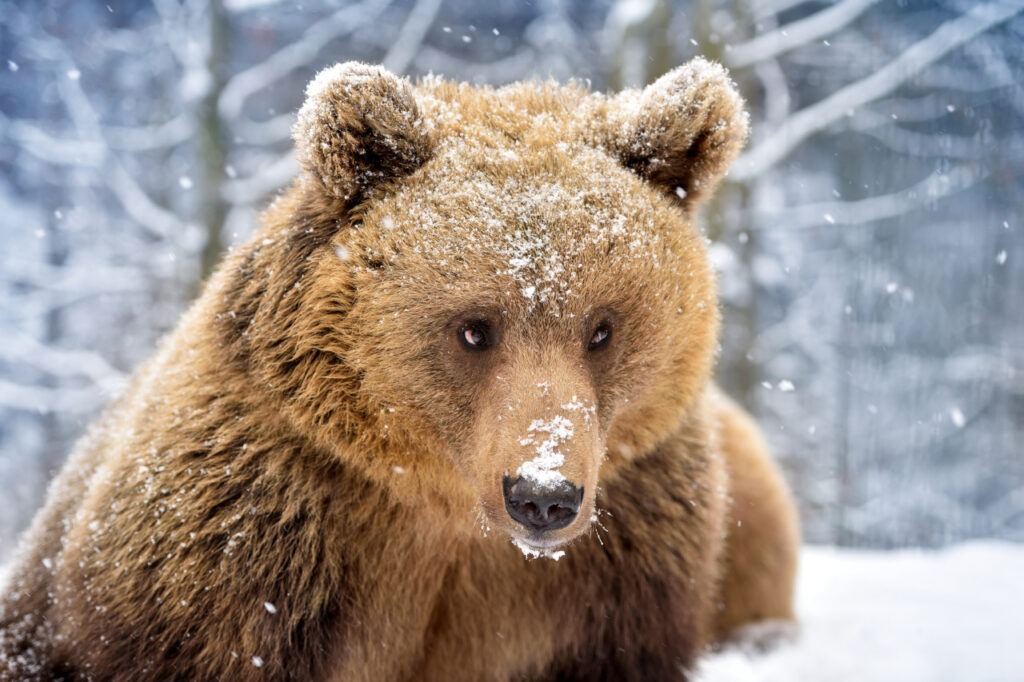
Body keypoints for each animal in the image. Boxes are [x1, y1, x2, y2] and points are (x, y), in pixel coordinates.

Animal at [0, 59, 794, 679]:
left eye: (602, 328)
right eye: (474, 328)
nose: (543, 496)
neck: (446, 513)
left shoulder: (620, 570)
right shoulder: (243, 555)